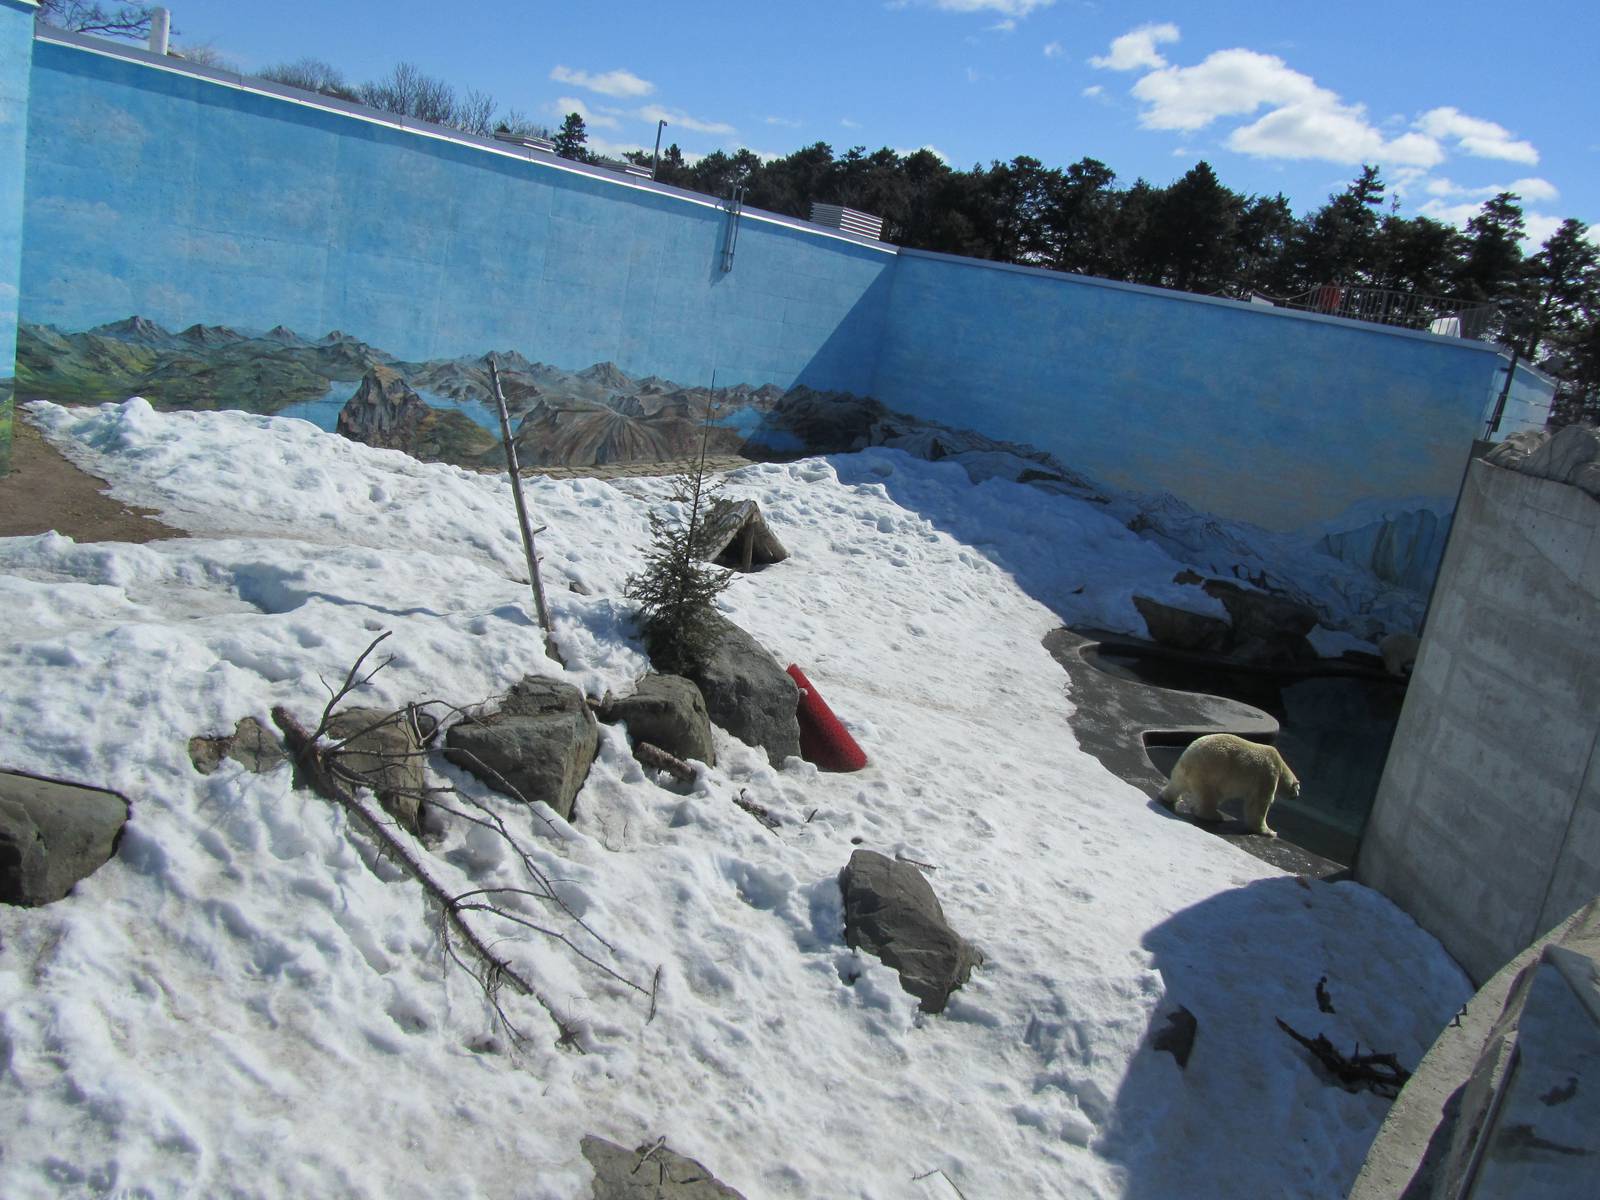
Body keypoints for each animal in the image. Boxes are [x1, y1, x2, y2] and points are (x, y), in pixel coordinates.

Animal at [1157, 733, 1299, 838]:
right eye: (1298, 789)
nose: (1297, 795)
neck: (1280, 766)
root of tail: (1188, 757)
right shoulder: (1267, 775)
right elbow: (1259, 803)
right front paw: (1269, 831)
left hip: (1182, 771)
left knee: (1176, 785)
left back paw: (1170, 797)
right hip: (1209, 772)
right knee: (1209, 796)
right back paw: (1214, 816)